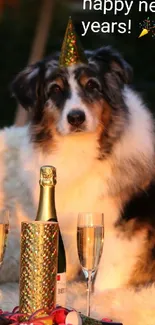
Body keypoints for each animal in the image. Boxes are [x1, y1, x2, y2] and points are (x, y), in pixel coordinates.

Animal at [0, 46, 155, 324]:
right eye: (55, 89)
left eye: (92, 85)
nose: (76, 118)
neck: (82, 148)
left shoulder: (125, 226)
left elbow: (107, 275)